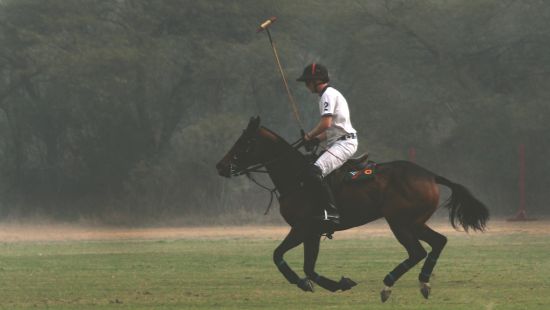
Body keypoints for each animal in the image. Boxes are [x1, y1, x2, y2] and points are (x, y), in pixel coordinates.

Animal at [217, 116, 492, 300]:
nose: (220, 166)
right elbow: (291, 260)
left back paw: (388, 284)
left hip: (399, 222)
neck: (296, 178)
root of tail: (431, 175)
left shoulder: (306, 228)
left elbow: (295, 262)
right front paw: (324, 283)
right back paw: (423, 283)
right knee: (438, 241)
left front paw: (323, 283)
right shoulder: (307, 231)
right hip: (415, 221)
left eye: (245, 142)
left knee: (417, 251)